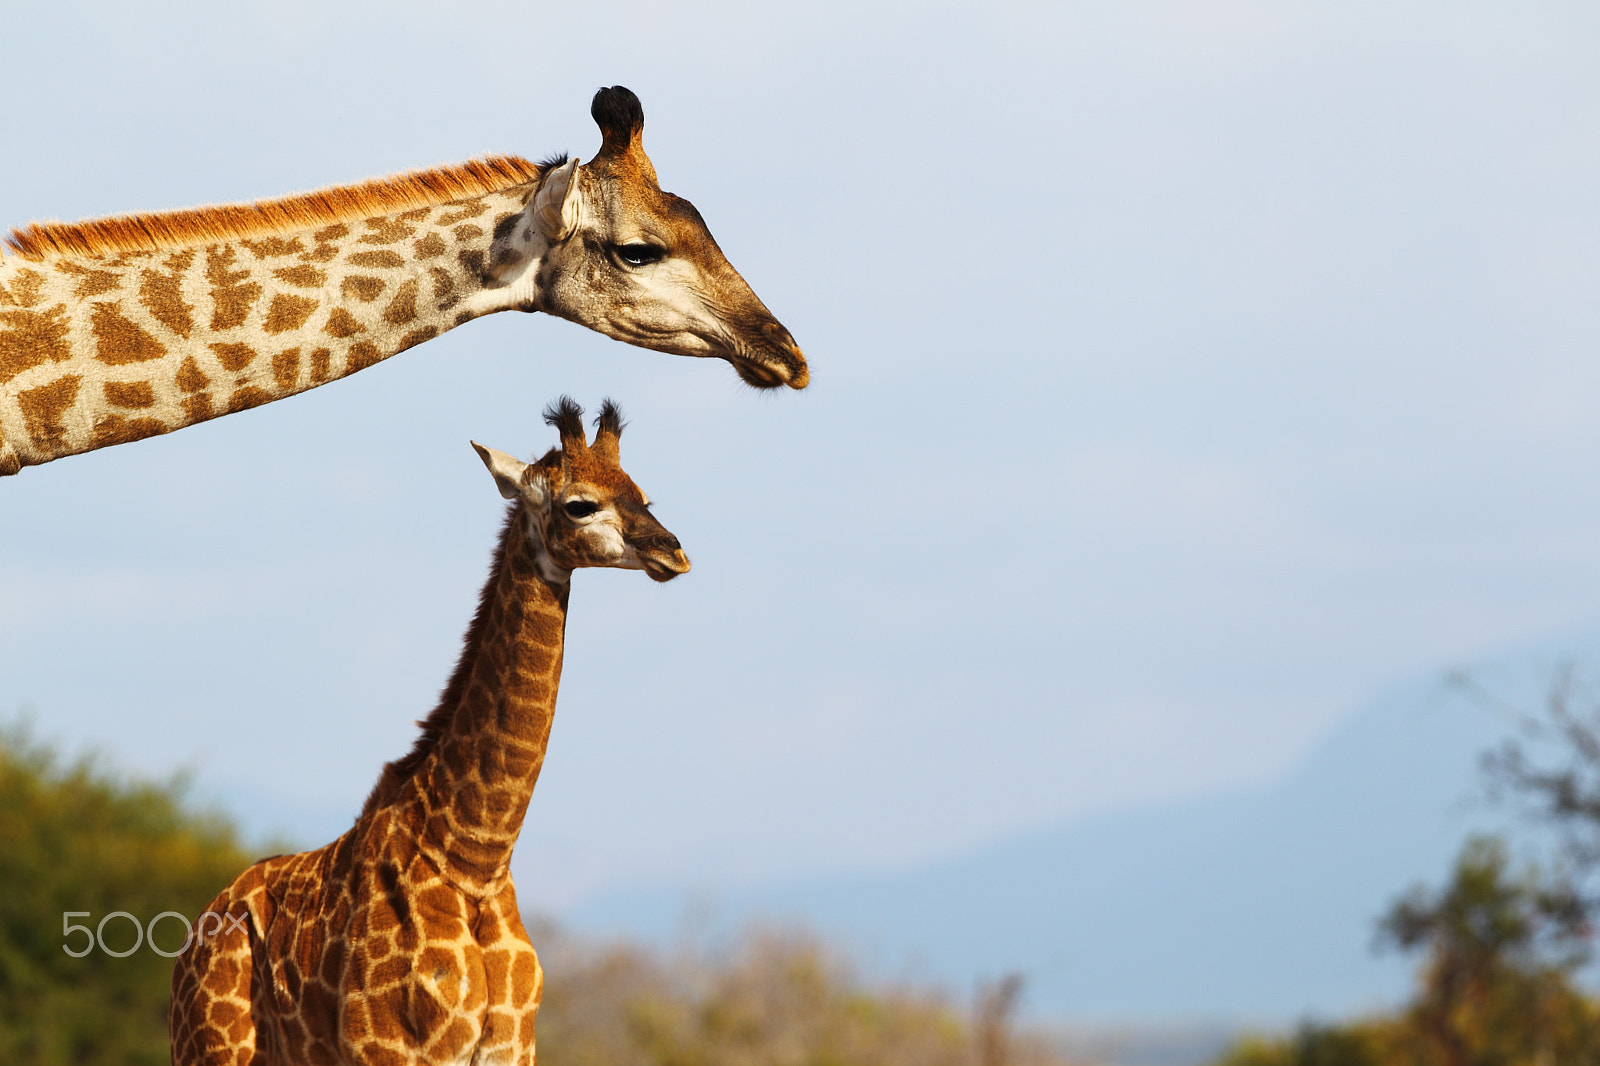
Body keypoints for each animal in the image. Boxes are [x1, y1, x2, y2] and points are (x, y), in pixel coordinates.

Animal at [168, 396, 690, 1065]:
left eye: (644, 494)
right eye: (580, 504)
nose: (673, 552)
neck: (475, 856)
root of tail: (195, 936)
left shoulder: (512, 1049)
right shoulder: (391, 1049)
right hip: (211, 1049)